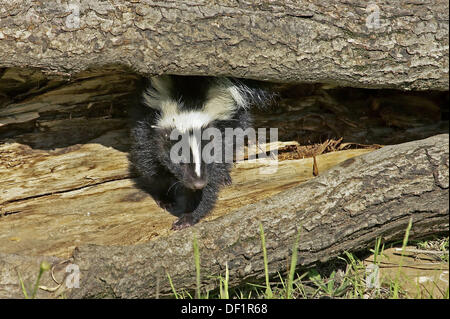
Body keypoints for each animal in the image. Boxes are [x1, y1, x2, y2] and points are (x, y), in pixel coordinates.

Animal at [129, 75, 268, 230]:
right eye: (180, 161)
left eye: (207, 158)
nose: (198, 183)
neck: (187, 108)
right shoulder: (148, 125)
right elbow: (149, 164)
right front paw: (165, 198)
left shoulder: (219, 135)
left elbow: (212, 179)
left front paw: (188, 218)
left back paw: (225, 178)